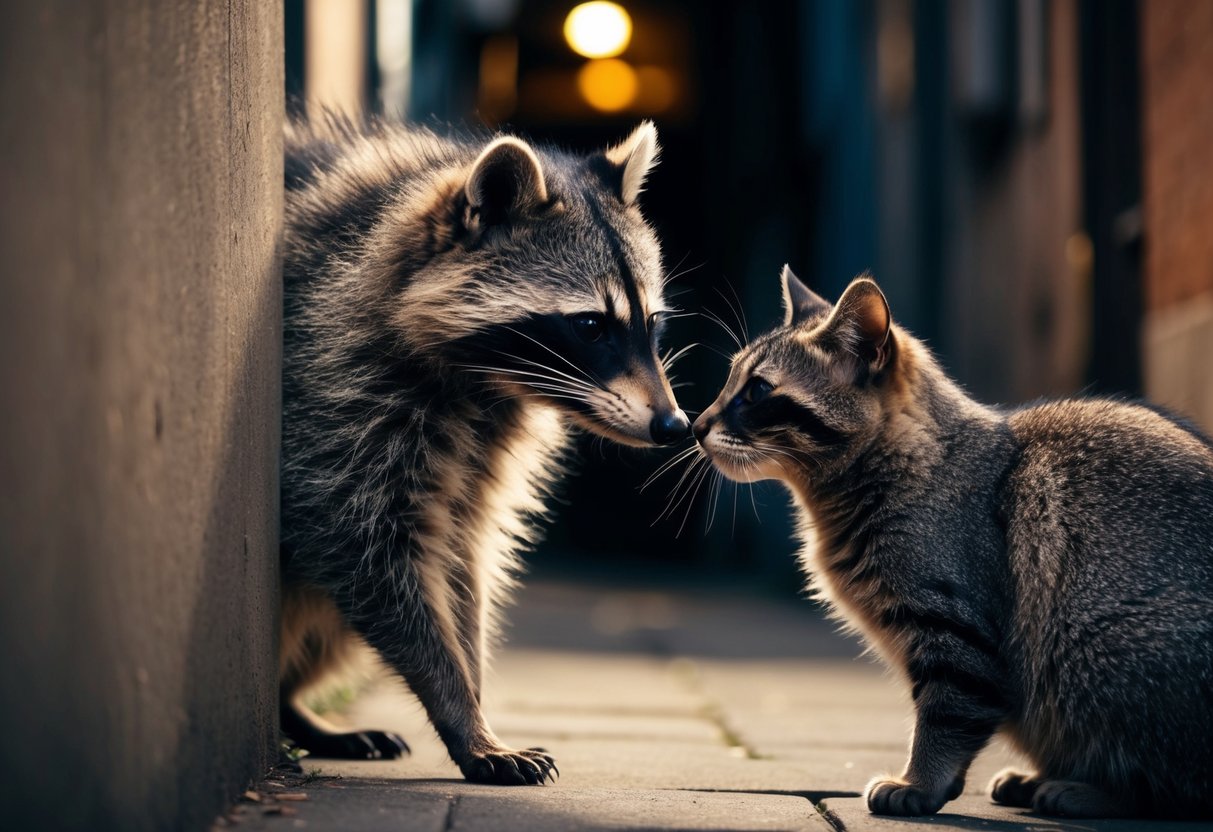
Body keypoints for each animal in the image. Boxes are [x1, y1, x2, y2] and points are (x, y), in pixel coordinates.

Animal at [281, 118, 688, 785]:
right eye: (591, 325)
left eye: (651, 323)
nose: (676, 425)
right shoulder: (330, 391)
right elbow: (363, 547)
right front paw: (458, 708)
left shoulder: (484, 449)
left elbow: (463, 554)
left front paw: (473, 701)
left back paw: (293, 706)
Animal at [692, 265, 1213, 818]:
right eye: (731, 382)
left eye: (757, 391)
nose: (695, 423)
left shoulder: (954, 632)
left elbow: (944, 718)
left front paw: (920, 780)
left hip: (1099, 648)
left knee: (1167, 784)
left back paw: (1088, 789)